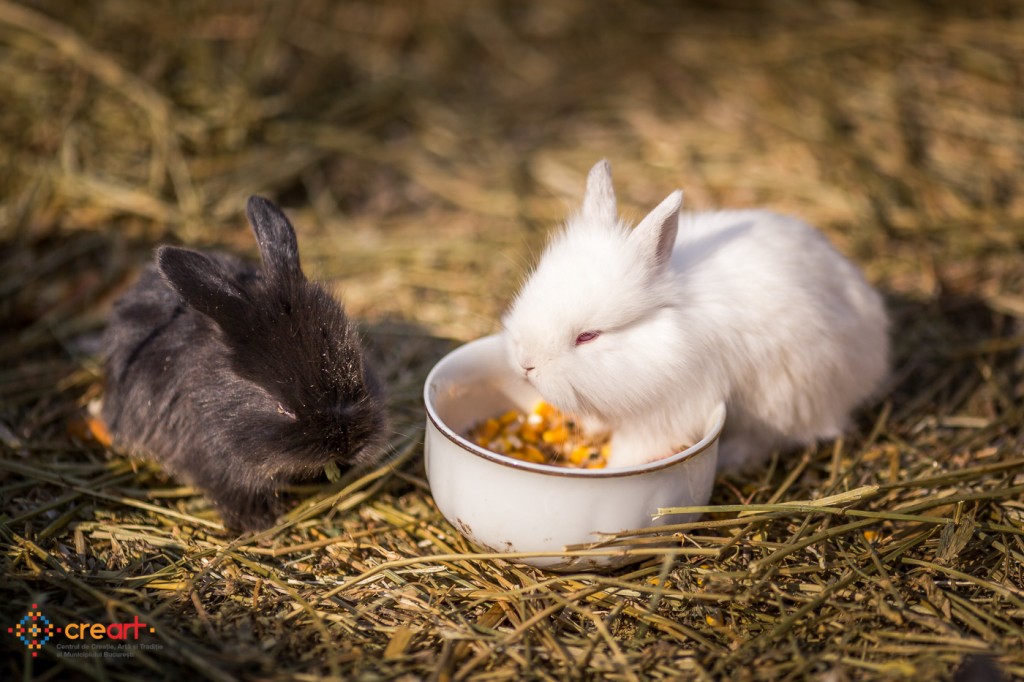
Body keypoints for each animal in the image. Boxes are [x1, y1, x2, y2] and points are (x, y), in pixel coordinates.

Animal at [502, 160, 889, 470]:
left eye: (588, 336)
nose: (525, 365)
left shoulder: (667, 413)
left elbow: (636, 448)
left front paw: (617, 467)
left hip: (789, 400)